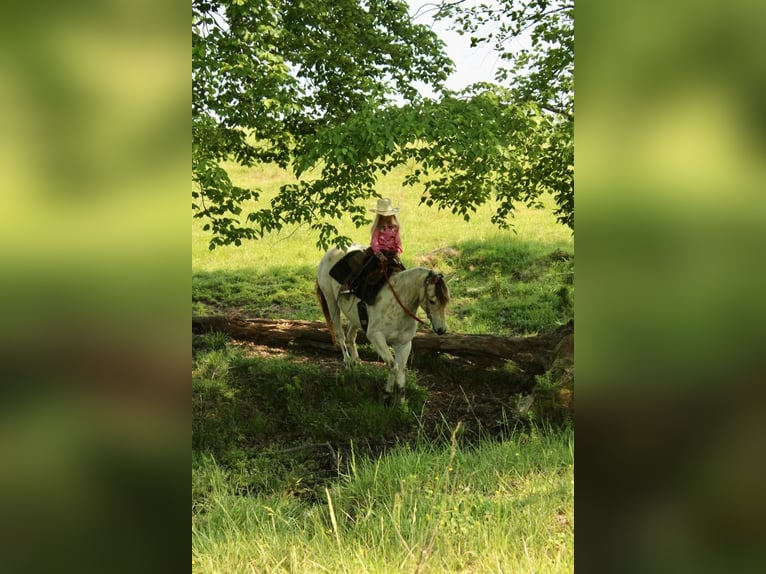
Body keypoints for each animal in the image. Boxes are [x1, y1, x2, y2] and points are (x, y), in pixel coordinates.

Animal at [316, 246, 450, 400]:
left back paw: (357, 362)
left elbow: (401, 371)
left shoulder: (404, 344)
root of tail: (331, 252)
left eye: (446, 301)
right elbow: (393, 366)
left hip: (355, 317)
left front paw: (401, 401)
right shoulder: (376, 337)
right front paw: (387, 393)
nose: (441, 330)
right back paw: (348, 363)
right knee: (340, 335)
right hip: (332, 302)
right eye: (433, 301)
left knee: (350, 336)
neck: (399, 302)